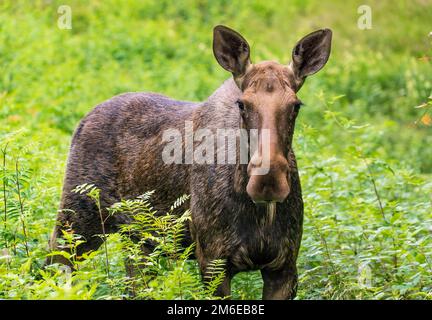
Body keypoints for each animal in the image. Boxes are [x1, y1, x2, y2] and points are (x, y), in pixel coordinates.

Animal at [49, 25, 332, 300]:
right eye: (242, 104)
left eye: (296, 105)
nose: (268, 182)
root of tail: (83, 121)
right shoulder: (213, 262)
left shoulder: (284, 266)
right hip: (76, 220)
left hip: (136, 239)